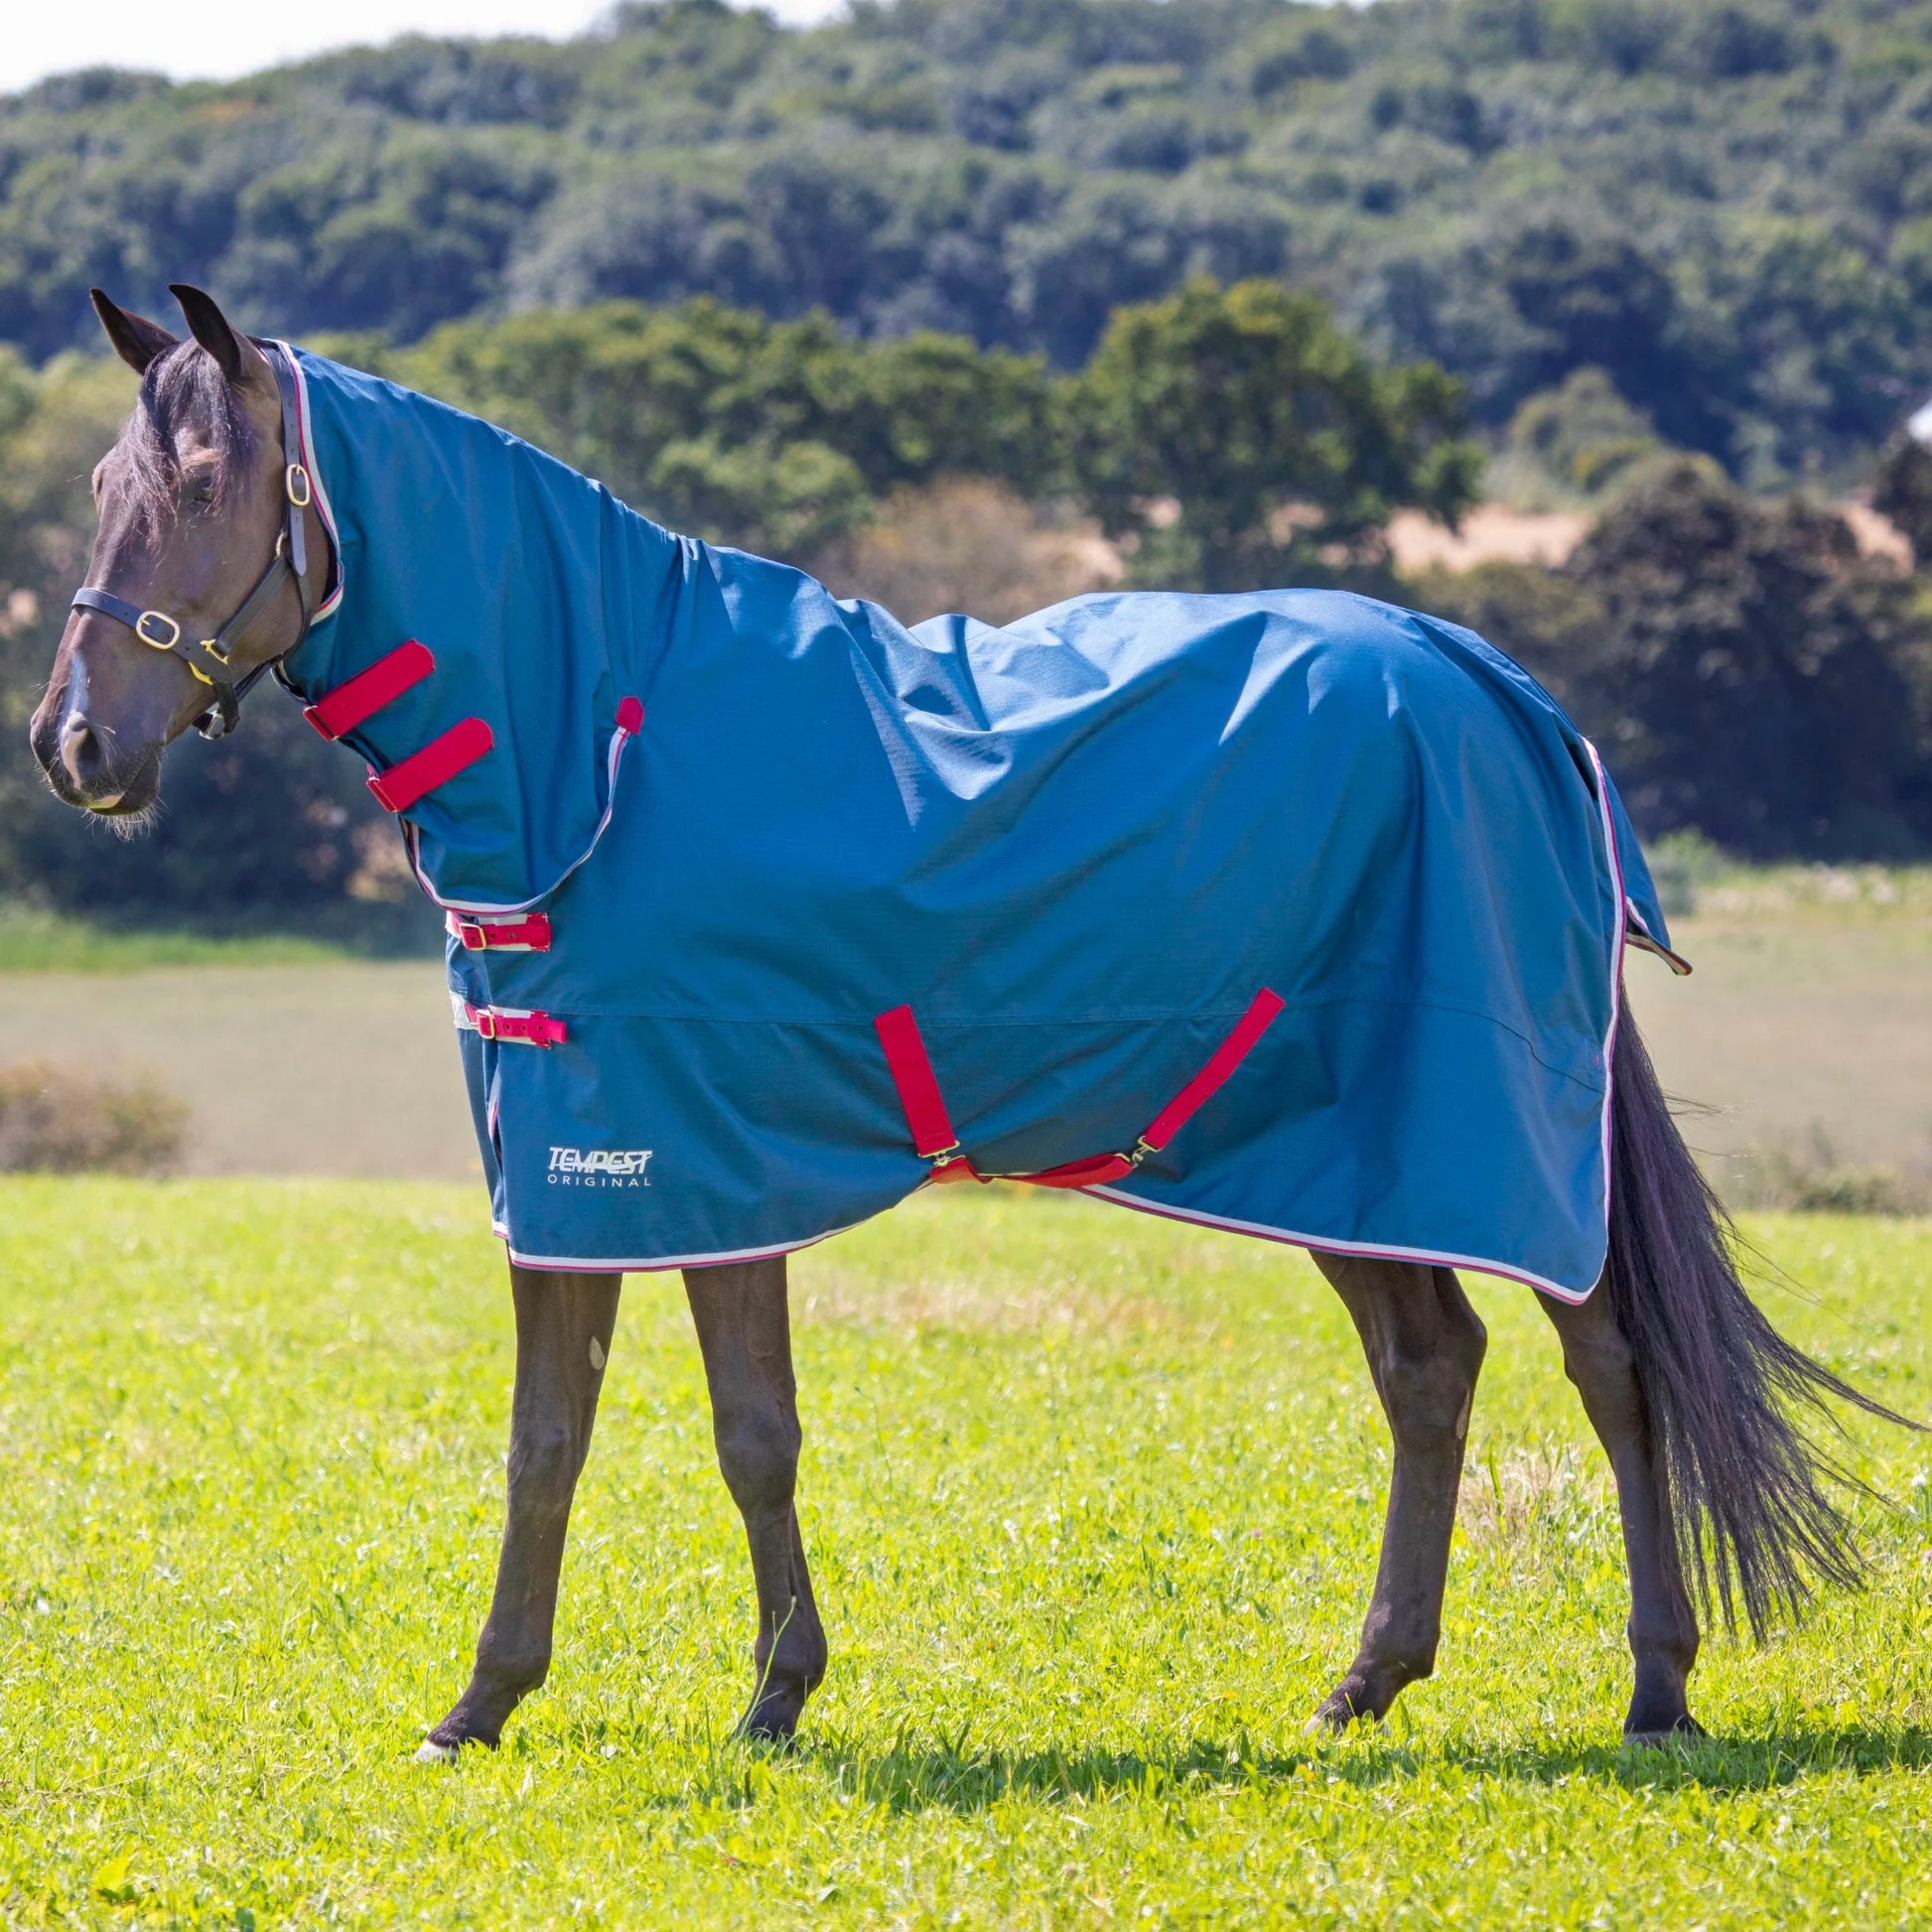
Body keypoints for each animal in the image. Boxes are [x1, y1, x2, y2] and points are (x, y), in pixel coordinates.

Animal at [30, 285, 1908, 1764]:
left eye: (201, 484)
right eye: (110, 483)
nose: (72, 747)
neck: (602, 748)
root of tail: (1509, 696)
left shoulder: (706, 1164)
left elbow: (750, 1438)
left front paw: (772, 1699)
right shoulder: (576, 1173)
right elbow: (547, 1441)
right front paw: (482, 1705)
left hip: (1491, 1141)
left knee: (1610, 1365)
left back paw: (1654, 1691)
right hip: (1334, 1148)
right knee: (1430, 1367)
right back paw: (1361, 1684)